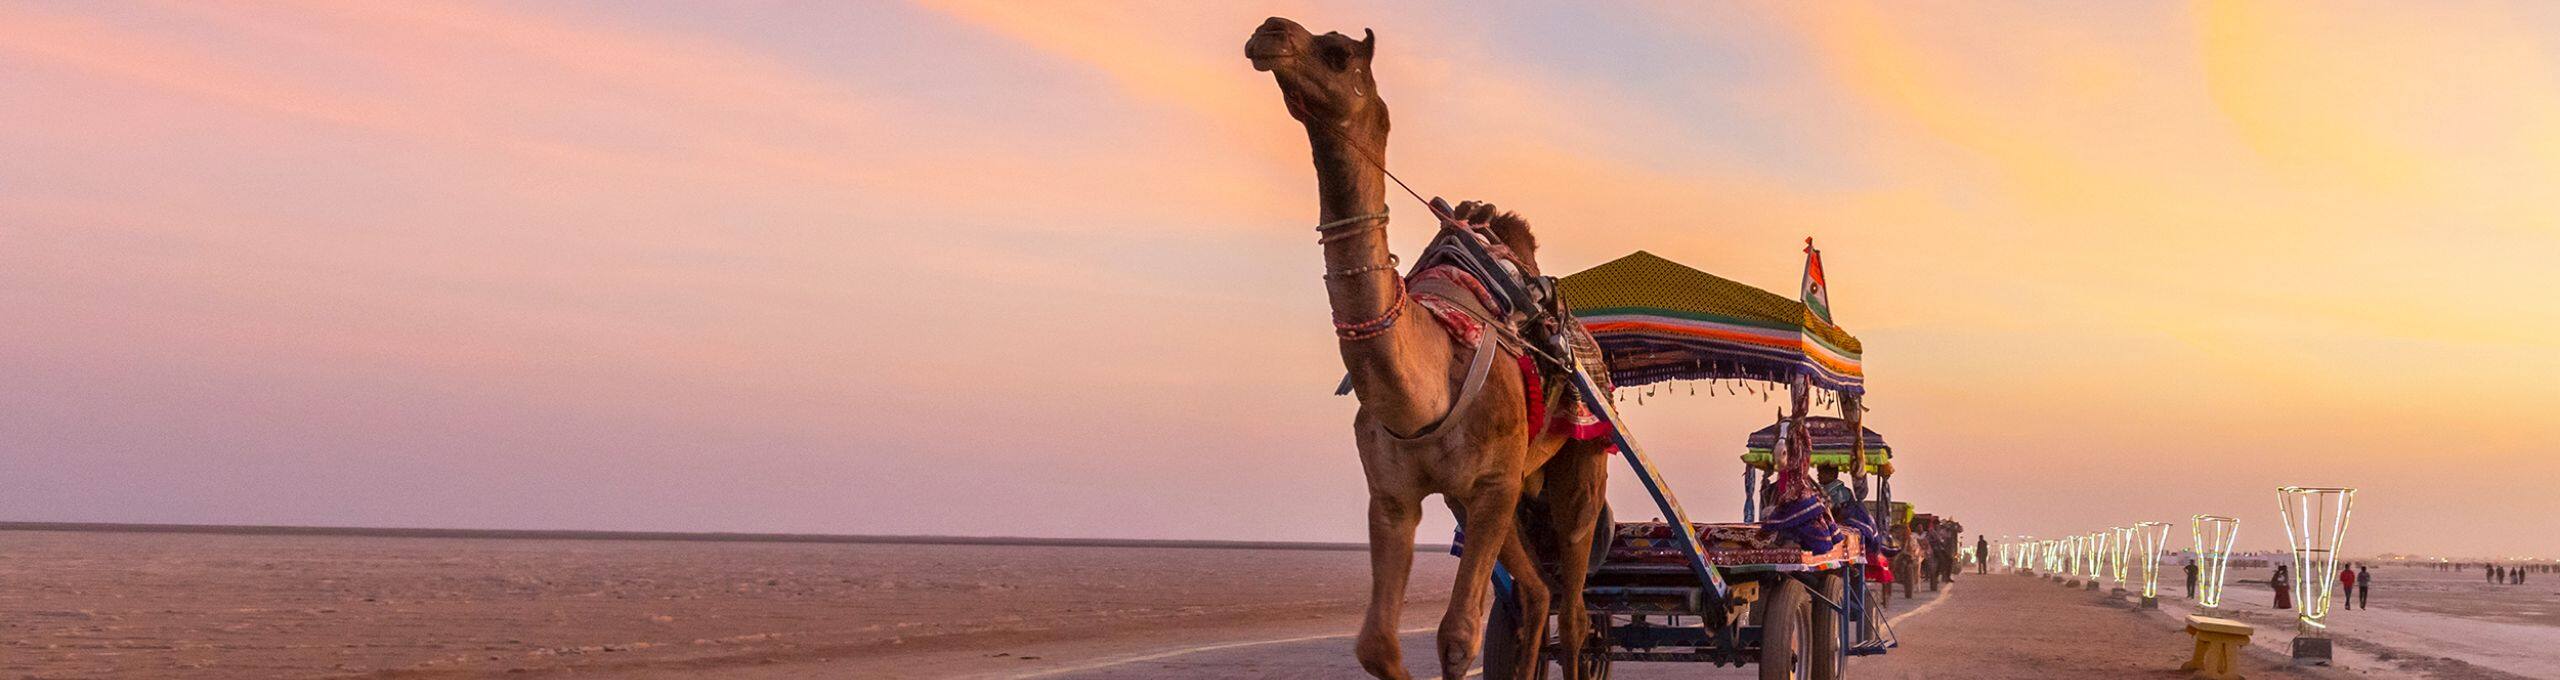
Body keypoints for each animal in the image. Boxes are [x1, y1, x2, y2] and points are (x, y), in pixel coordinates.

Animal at [1249, 18, 1607, 674]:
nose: (1269, 31)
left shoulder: (1492, 483)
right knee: (1538, 596)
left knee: (1574, 610)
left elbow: (1458, 635)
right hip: (1501, 495)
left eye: (1337, 53)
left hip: (1580, 464)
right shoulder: (1396, 495)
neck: (1424, 391)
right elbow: (1375, 645)